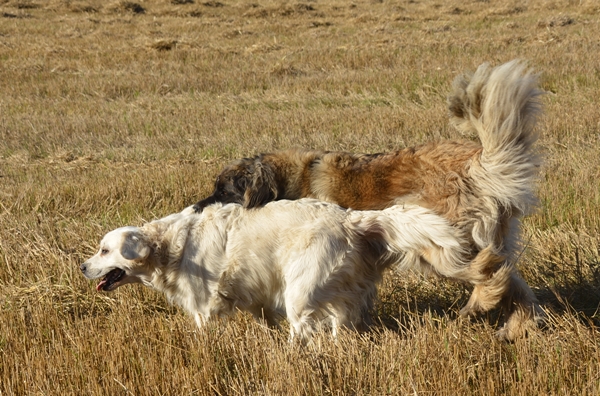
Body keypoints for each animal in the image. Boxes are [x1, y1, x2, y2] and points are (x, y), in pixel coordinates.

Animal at [81, 200, 506, 342]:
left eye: (104, 250)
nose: (83, 266)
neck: (174, 246)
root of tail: (353, 220)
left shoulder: (205, 308)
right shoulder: (256, 301)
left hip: (301, 294)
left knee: (303, 332)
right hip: (339, 298)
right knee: (339, 331)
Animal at [195, 59, 548, 340]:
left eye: (223, 191)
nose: (197, 207)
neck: (292, 181)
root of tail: (478, 164)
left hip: (437, 244)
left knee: (490, 273)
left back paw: (477, 306)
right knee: (512, 280)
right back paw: (514, 328)